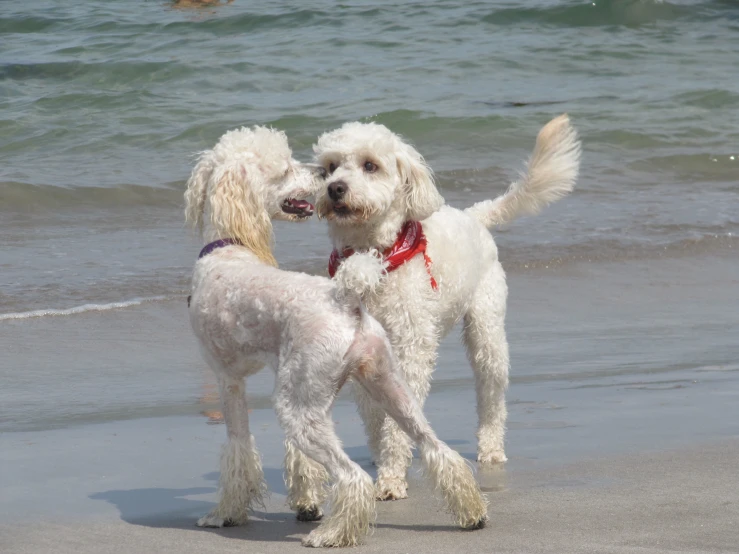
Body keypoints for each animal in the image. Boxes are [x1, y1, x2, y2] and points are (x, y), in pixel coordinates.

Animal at [183, 127, 488, 544]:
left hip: (299, 409)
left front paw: (225, 514)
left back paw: (330, 534)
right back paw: (471, 512)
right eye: (285, 170)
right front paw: (305, 501)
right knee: (435, 448)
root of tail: (346, 297)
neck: (228, 248)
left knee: (353, 476)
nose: (321, 175)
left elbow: (238, 449)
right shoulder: (293, 378)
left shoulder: (228, 380)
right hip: (388, 386)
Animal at [310, 114, 580, 498]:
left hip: (487, 332)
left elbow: (396, 421)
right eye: (329, 168)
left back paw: (491, 448)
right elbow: (375, 415)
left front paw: (392, 477)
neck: (379, 257)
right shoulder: (364, 354)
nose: (335, 188)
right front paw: (383, 463)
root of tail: (474, 216)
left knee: (491, 394)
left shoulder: (409, 350)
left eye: (370, 165)